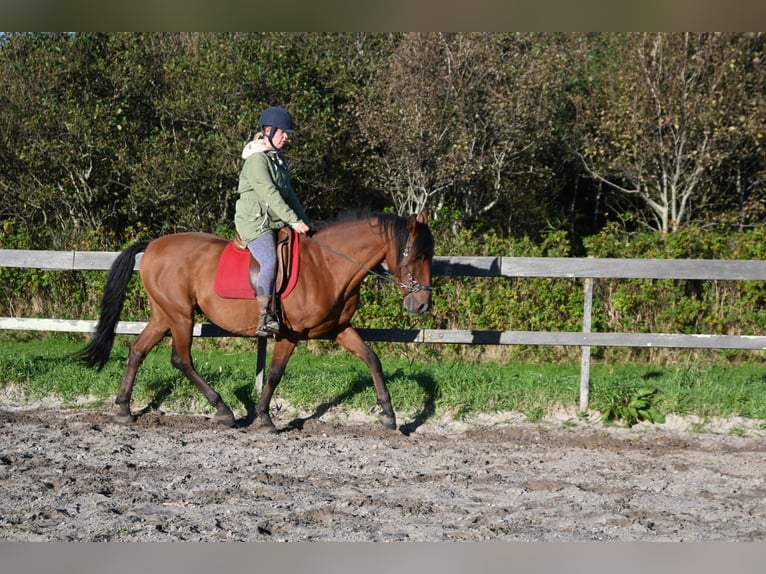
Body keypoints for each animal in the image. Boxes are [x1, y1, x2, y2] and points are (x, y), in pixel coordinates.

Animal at [76, 212, 438, 432]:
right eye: (417, 255)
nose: (422, 305)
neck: (328, 265)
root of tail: (152, 245)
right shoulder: (290, 334)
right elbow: (275, 373)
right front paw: (264, 417)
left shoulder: (338, 329)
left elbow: (372, 358)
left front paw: (389, 415)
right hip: (180, 316)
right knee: (181, 359)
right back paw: (223, 409)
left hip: (163, 315)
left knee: (138, 350)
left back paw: (124, 409)